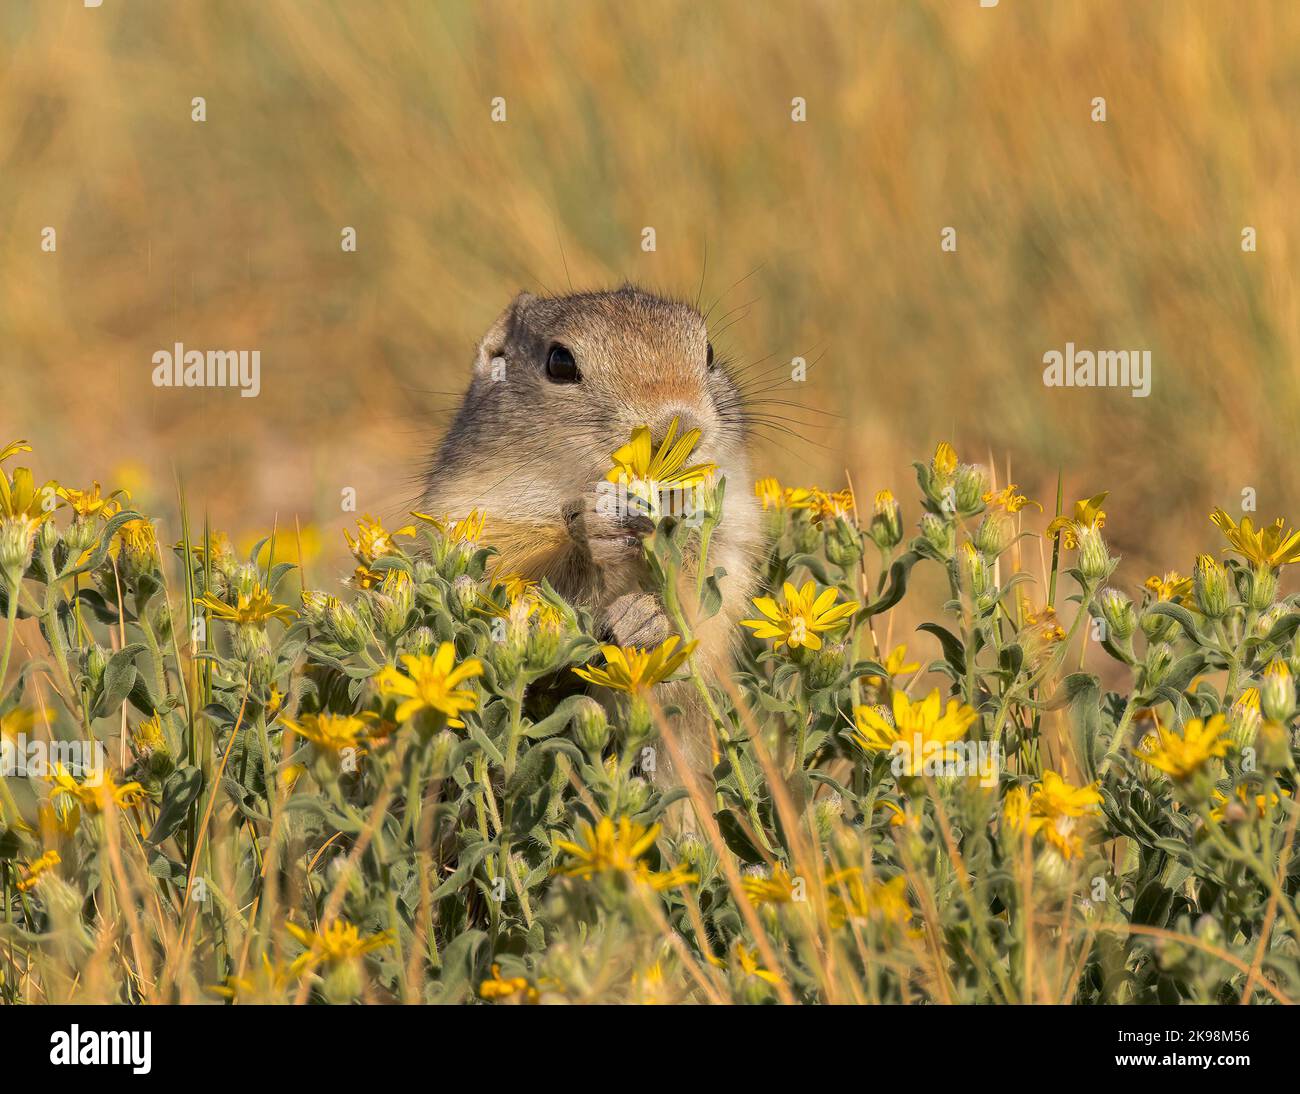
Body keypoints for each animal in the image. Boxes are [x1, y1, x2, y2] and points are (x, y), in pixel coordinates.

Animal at [418, 281, 759, 774]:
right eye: (560, 362)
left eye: (710, 352)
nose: (678, 422)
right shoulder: (479, 520)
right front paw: (597, 535)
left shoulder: (732, 535)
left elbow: (704, 593)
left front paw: (648, 618)